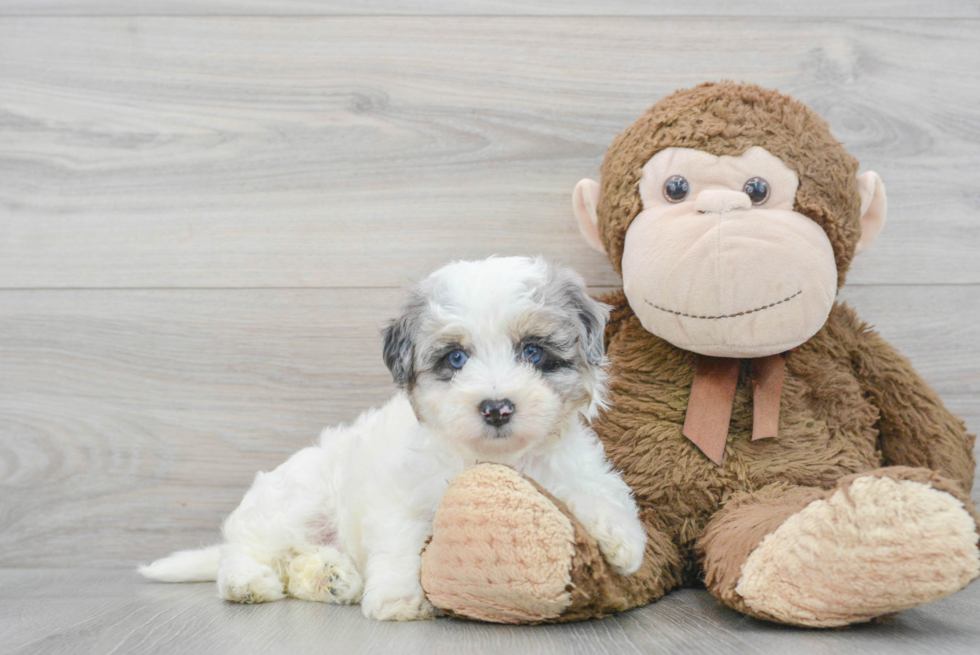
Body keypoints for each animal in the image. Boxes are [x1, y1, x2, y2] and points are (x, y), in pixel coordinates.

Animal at [138, 255, 644, 620]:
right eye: (456, 358)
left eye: (534, 352)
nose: (497, 407)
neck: (494, 458)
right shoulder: (401, 498)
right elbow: (400, 545)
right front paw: (399, 600)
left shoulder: (566, 462)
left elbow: (599, 486)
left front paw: (623, 539)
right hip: (292, 503)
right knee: (248, 550)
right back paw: (249, 583)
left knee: (296, 564)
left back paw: (331, 578)